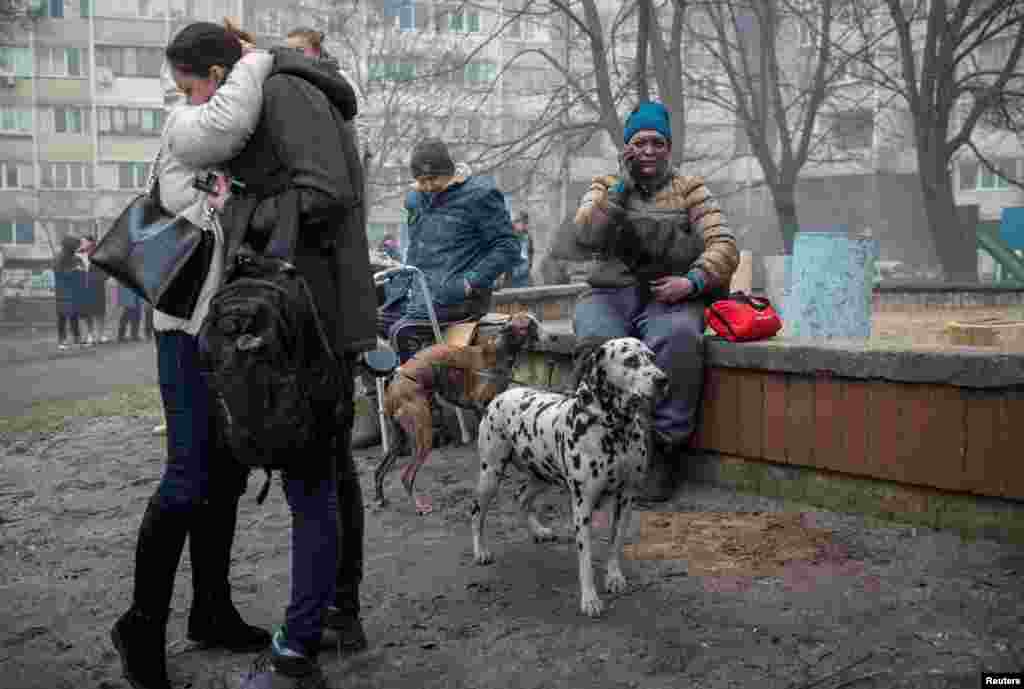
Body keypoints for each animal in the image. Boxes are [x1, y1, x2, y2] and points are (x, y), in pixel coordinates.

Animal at [372, 311, 540, 509]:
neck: (501, 350)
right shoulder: (481, 406)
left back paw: (381, 498)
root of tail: (396, 382)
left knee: (379, 471)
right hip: (422, 437)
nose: (544, 334)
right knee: (406, 477)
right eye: (527, 325)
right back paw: (420, 506)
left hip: (399, 439)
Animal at [468, 335, 667, 614]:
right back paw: (480, 550)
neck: (614, 428)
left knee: (521, 497)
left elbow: (615, 543)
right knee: (477, 513)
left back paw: (538, 530)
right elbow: (585, 560)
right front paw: (590, 599)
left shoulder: (626, 499)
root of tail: (504, 394)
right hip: (491, 475)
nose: (662, 379)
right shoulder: (582, 507)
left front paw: (614, 576)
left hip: (541, 477)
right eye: (630, 360)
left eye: (652, 357)